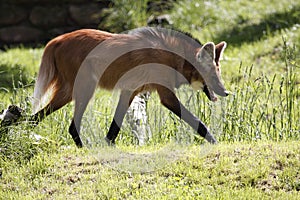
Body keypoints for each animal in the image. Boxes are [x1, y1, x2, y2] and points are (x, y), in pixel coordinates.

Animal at [30, 27, 229, 147]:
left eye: (219, 74)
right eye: (213, 76)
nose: (225, 92)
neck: (173, 57)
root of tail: (56, 40)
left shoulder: (130, 90)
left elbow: (115, 126)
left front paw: (109, 144)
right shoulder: (166, 94)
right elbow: (198, 122)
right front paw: (215, 142)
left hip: (69, 91)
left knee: (35, 118)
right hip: (85, 88)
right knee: (71, 125)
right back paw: (84, 148)